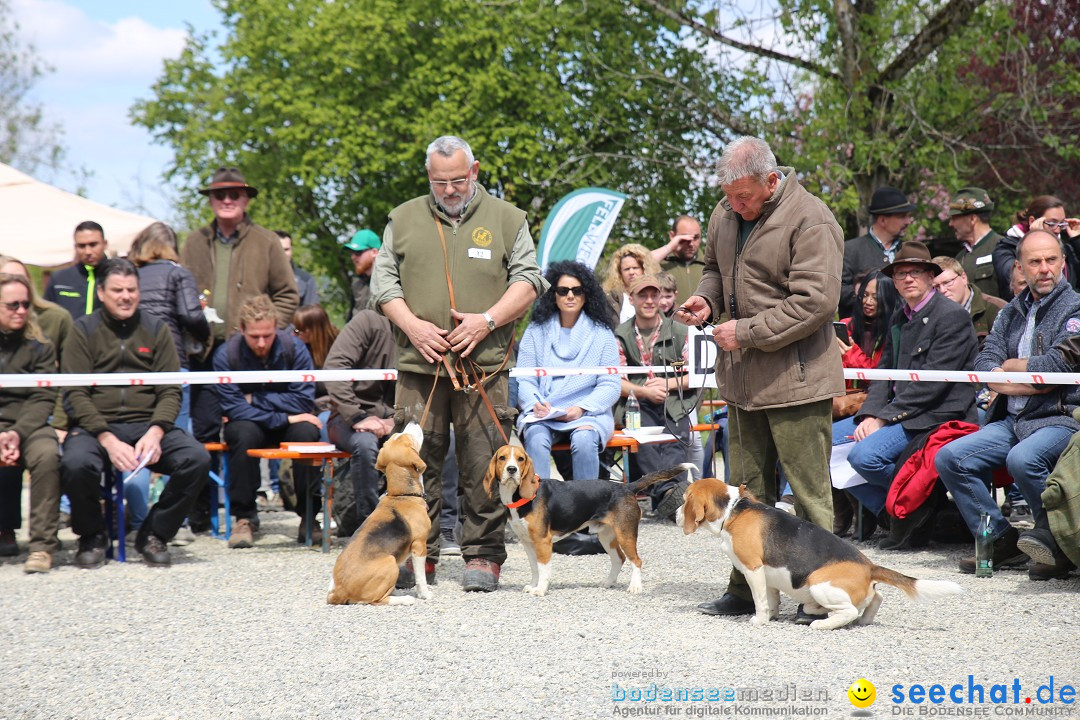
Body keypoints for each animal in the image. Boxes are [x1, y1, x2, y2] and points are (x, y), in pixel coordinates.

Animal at [326, 425, 432, 604]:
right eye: (407, 437)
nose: (414, 422)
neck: (401, 495)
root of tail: (340, 591)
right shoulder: (419, 545)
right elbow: (420, 577)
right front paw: (424, 594)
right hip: (390, 562)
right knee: (377, 600)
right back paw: (404, 599)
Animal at [483, 444, 691, 595]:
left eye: (520, 459)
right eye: (502, 458)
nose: (512, 469)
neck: (518, 497)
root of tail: (627, 487)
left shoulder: (542, 541)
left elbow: (543, 568)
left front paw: (540, 589)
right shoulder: (527, 542)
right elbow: (534, 567)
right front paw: (533, 586)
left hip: (625, 534)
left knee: (636, 561)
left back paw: (635, 587)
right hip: (606, 536)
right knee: (619, 559)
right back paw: (608, 582)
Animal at [673, 479, 963, 630]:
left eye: (685, 499)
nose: (675, 515)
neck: (734, 509)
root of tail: (870, 566)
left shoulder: (753, 569)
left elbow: (760, 600)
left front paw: (760, 619)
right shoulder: (769, 574)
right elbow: (772, 597)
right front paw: (773, 615)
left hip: (819, 583)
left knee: (848, 611)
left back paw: (823, 622)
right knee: (875, 597)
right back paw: (862, 619)